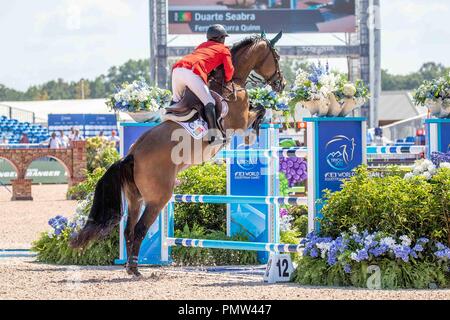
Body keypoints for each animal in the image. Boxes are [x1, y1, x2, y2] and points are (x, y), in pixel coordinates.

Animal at [72, 32, 286, 278]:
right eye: (276, 56)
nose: (281, 83)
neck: (232, 83)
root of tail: (132, 155)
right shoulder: (239, 121)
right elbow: (259, 110)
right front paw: (255, 132)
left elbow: (259, 109)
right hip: (158, 198)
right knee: (140, 228)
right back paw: (135, 269)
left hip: (136, 198)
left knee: (128, 229)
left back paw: (130, 267)